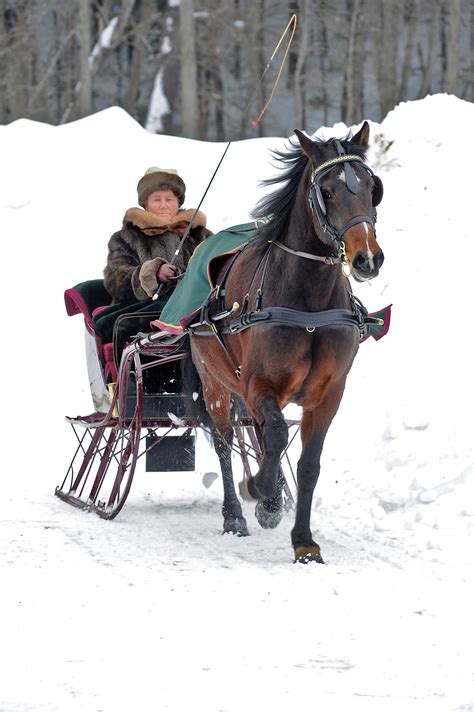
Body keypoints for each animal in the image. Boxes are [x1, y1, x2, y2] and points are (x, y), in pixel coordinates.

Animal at [186, 121, 386, 560]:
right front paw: (262, 493)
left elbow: (308, 464)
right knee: (226, 443)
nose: (366, 258)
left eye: (371, 186)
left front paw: (303, 540)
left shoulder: (329, 393)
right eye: (326, 190)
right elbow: (275, 434)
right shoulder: (256, 382)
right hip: (214, 383)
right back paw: (237, 514)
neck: (308, 301)